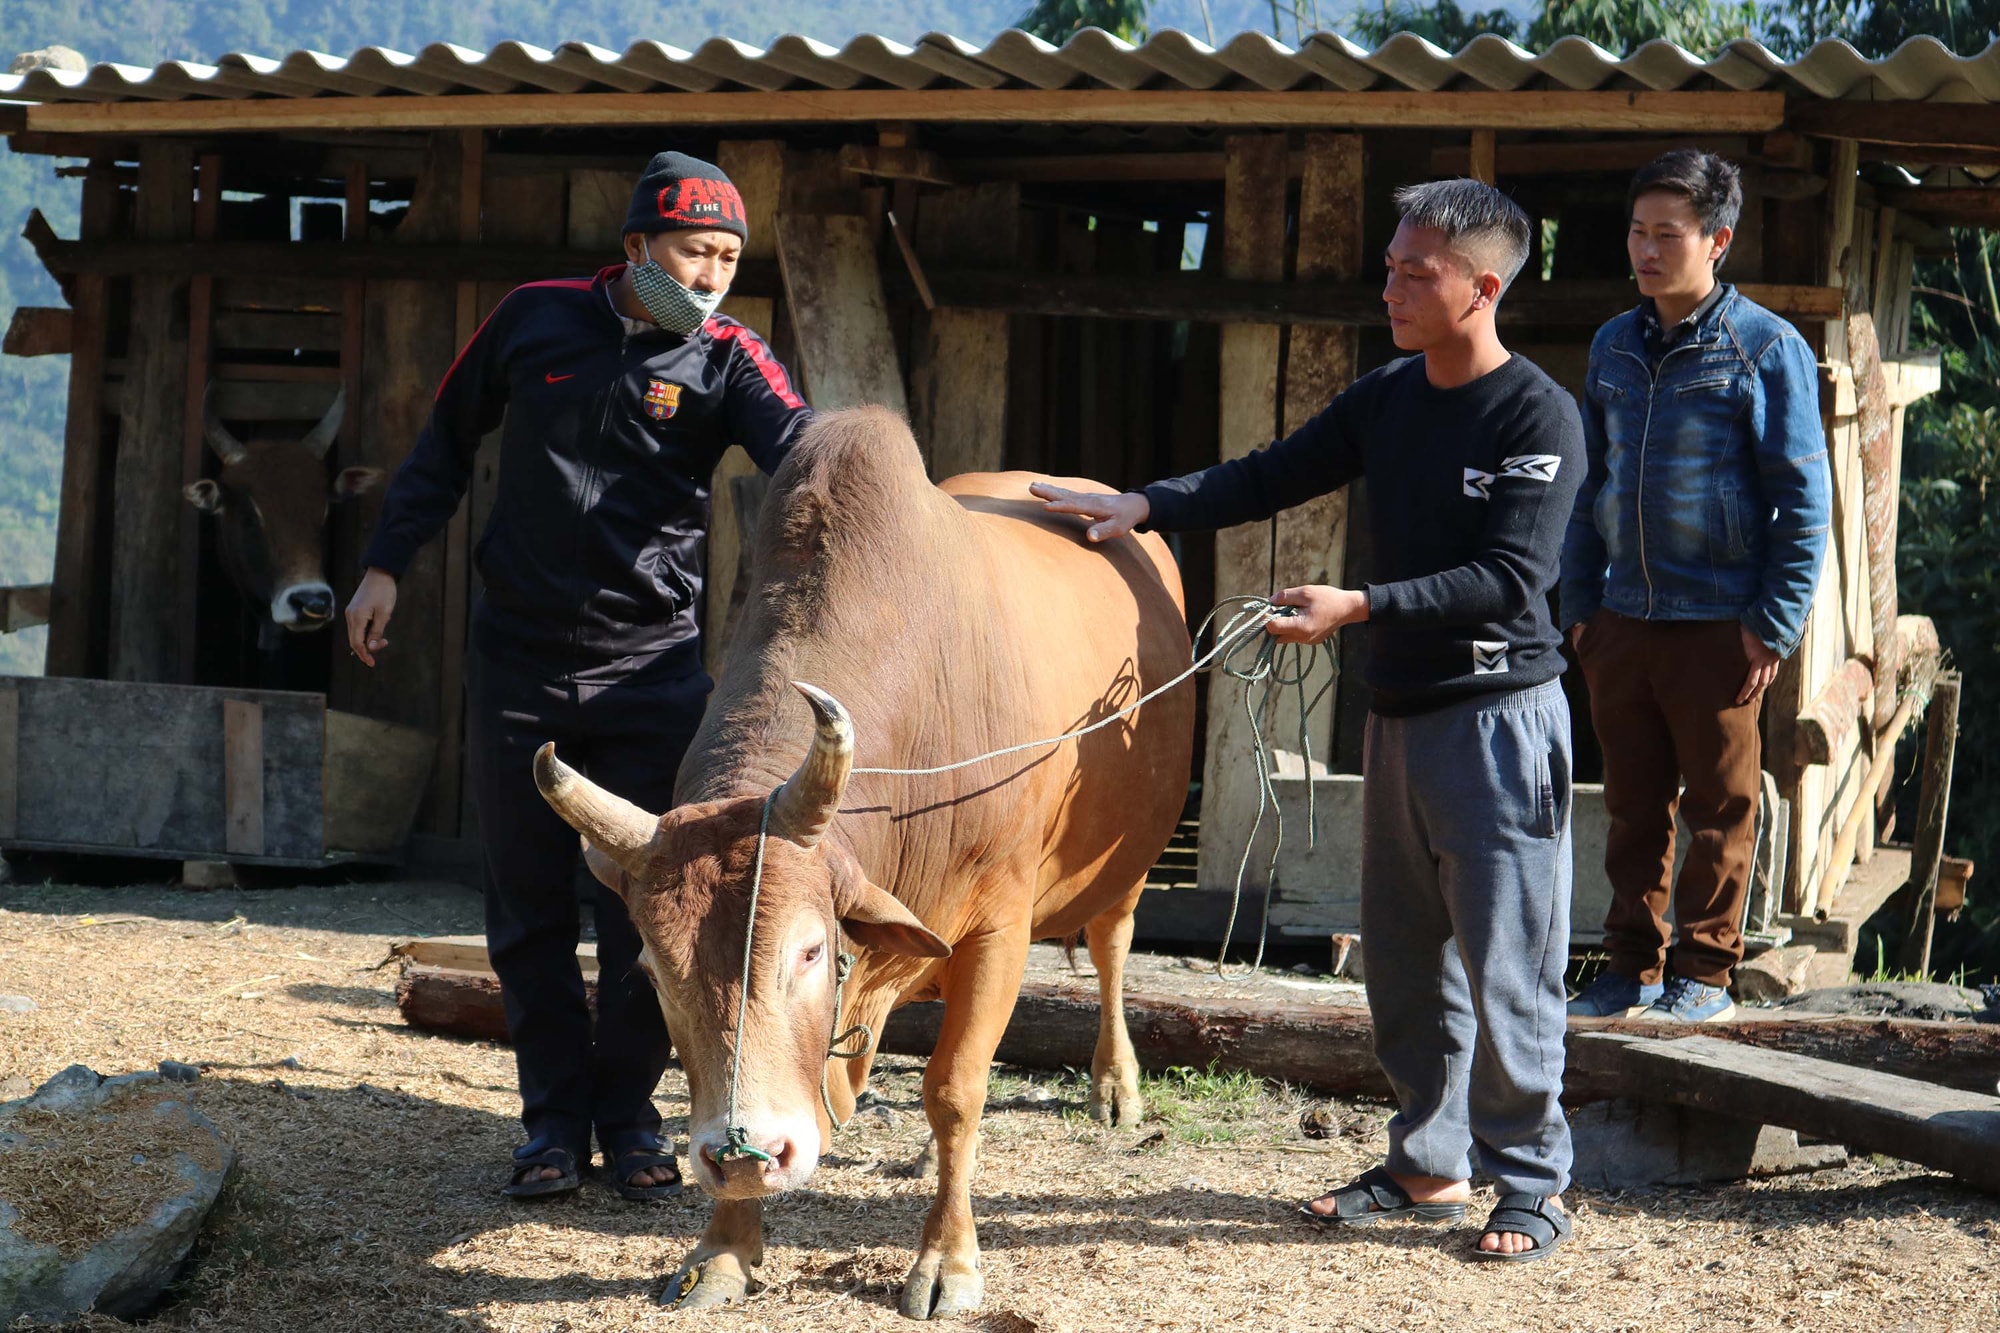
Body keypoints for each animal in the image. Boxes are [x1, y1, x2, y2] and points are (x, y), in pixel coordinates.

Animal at [536, 408, 1184, 1320]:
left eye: (810, 950)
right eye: (657, 974)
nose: (743, 1150)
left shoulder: (999, 927)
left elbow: (954, 1088)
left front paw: (947, 1261)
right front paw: (725, 1249)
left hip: (1124, 865)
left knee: (1110, 949)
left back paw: (1115, 1084)